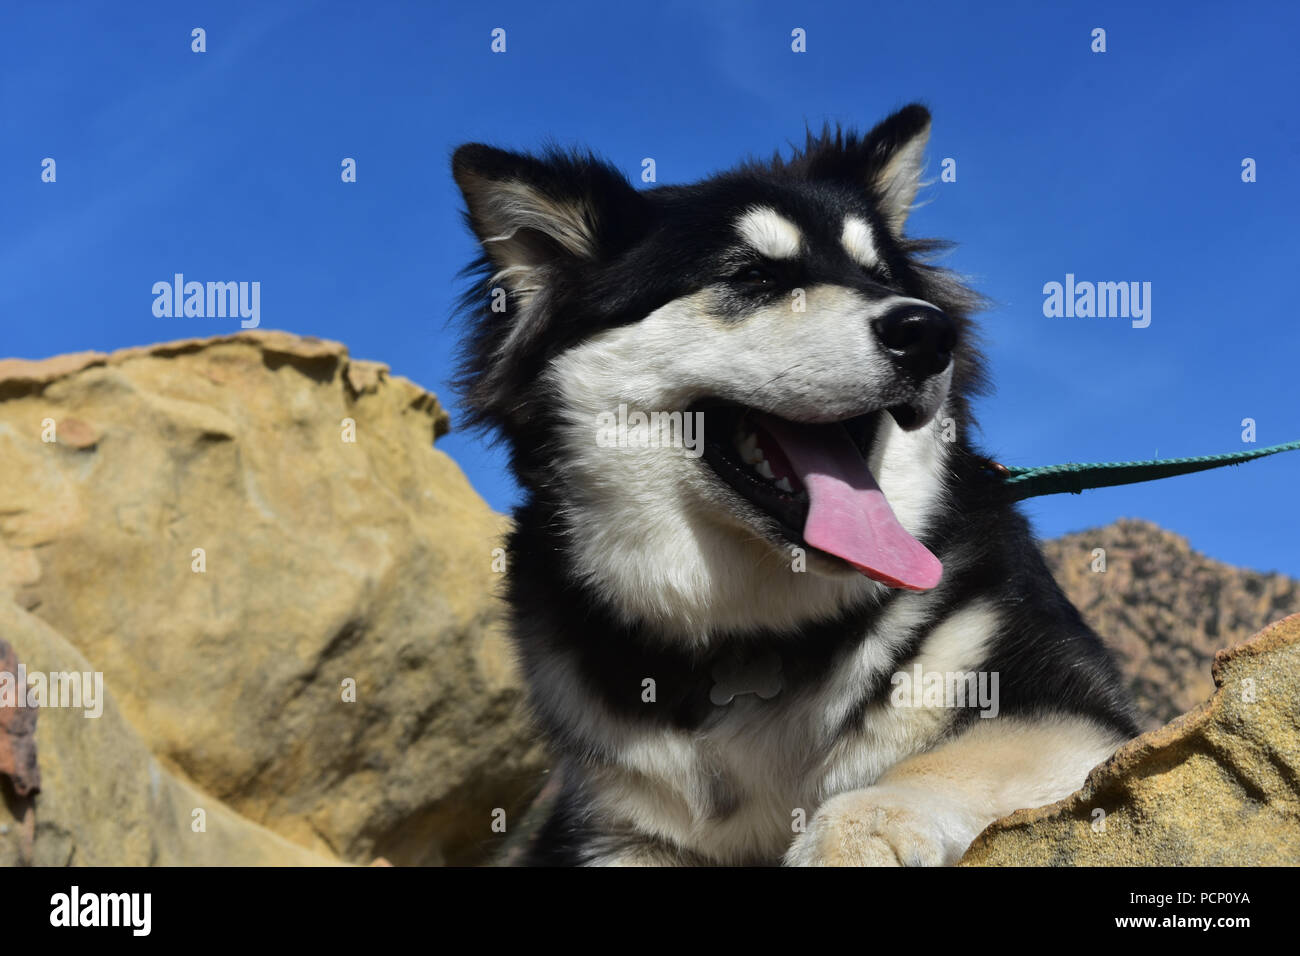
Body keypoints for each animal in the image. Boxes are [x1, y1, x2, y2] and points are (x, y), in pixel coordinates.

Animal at [449, 104, 1138, 868]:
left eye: (879, 276)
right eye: (754, 276)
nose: (929, 332)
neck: (756, 635)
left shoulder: (1072, 713)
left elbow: (952, 757)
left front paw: (856, 831)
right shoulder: (610, 825)